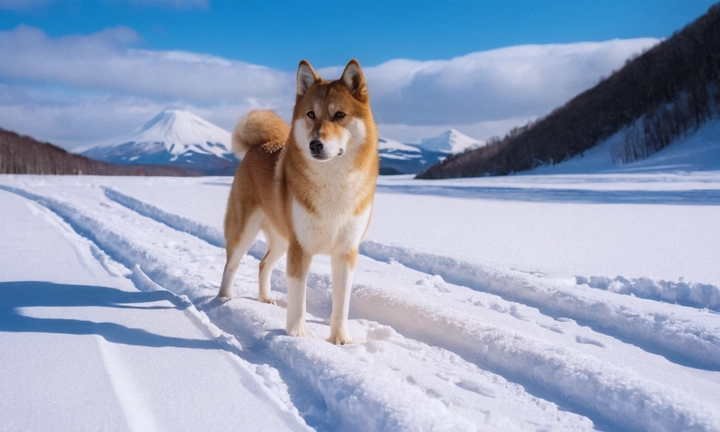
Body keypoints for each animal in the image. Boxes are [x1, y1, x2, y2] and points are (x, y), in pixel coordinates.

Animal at [217, 60, 380, 344]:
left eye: (339, 115)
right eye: (311, 114)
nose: (315, 144)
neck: (333, 184)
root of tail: (259, 145)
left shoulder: (345, 251)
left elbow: (342, 302)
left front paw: (340, 339)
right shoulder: (301, 248)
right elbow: (297, 298)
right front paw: (296, 335)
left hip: (283, 239)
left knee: (263, 264)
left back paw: (266, 298)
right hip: (245, 230)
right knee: (231, 264)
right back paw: (224, 299)